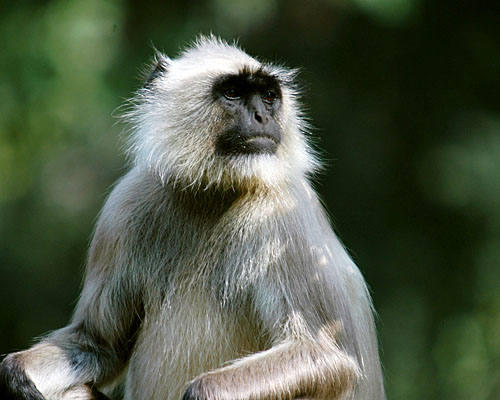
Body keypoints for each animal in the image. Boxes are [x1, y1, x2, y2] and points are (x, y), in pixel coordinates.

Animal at [0, 36, 384, 400]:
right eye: (233, 93)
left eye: (269, 96)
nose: (263, 118)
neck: (215, 191)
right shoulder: (124, 205)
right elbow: (98, 344)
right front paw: (16, 373)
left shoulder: (286, 215)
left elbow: (329, 358)